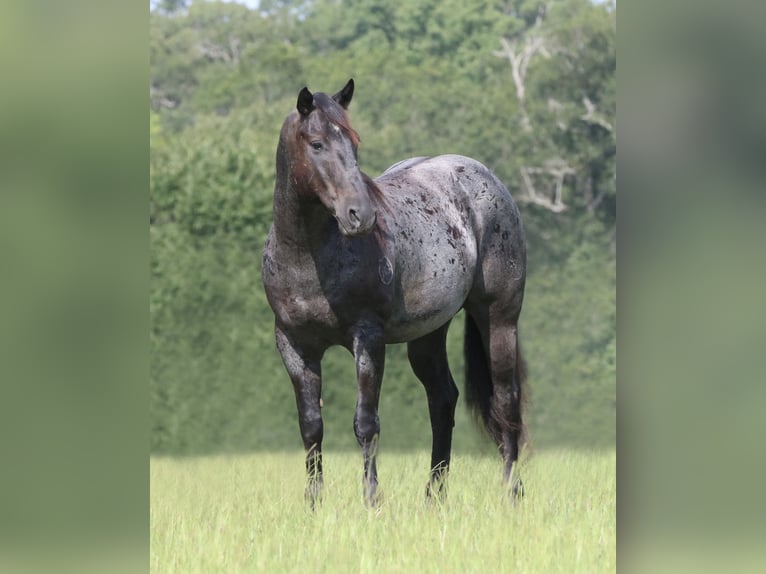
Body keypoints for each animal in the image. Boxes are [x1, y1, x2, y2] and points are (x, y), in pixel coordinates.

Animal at [262, 79, 527, 506]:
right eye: (316, 143)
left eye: (354, 143)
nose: (360, 214)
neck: (307, 256)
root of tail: (487, 179)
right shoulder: (293, 344)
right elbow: (311, 425)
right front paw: (314, 503)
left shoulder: (367, 339)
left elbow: (365, 422)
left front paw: (371, 499)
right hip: (428, 335)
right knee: (443, 400)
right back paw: (434, 496)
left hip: (500, 320)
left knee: (506, 401)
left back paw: (511, 493)